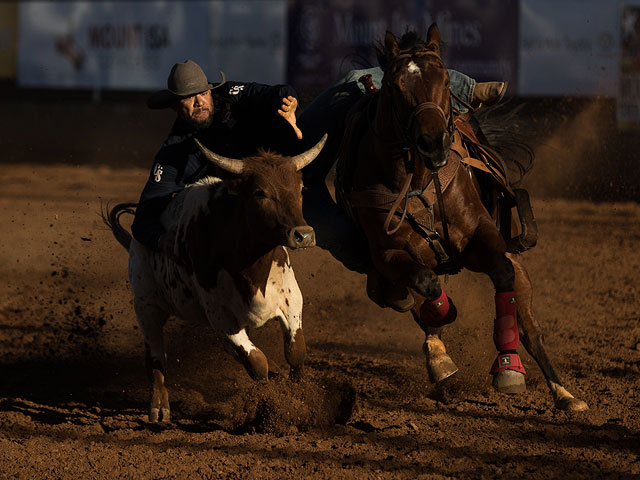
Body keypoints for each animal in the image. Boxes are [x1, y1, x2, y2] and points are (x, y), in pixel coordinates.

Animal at [336, 24, 592, 410]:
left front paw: (508, 368)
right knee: (411, 296)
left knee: (529, 325)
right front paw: (441, 330)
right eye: (396, 85)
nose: (432, 143)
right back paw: (438, 357)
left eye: (444, 81)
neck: (419, 183)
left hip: (515, 263)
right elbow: (426, 283)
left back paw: (563, 393)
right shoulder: (387, 256)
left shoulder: (481, 236)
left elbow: (501, 275)